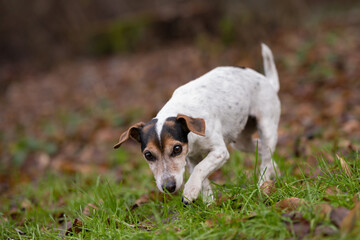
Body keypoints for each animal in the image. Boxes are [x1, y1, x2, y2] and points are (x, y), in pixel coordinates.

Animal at [115, 43, 282, 204]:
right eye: (148, 155)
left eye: (177, 149)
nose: (169, 187)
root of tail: (268, 82)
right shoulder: (192, 158)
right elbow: (204, 178)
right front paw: (208, 202)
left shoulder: (219, 152)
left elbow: (200, 169)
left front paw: (189, 190)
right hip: (241, 142)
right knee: (260, 148)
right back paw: (276, 172)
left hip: (266, 128)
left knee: (265, 158)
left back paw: (263, 184)